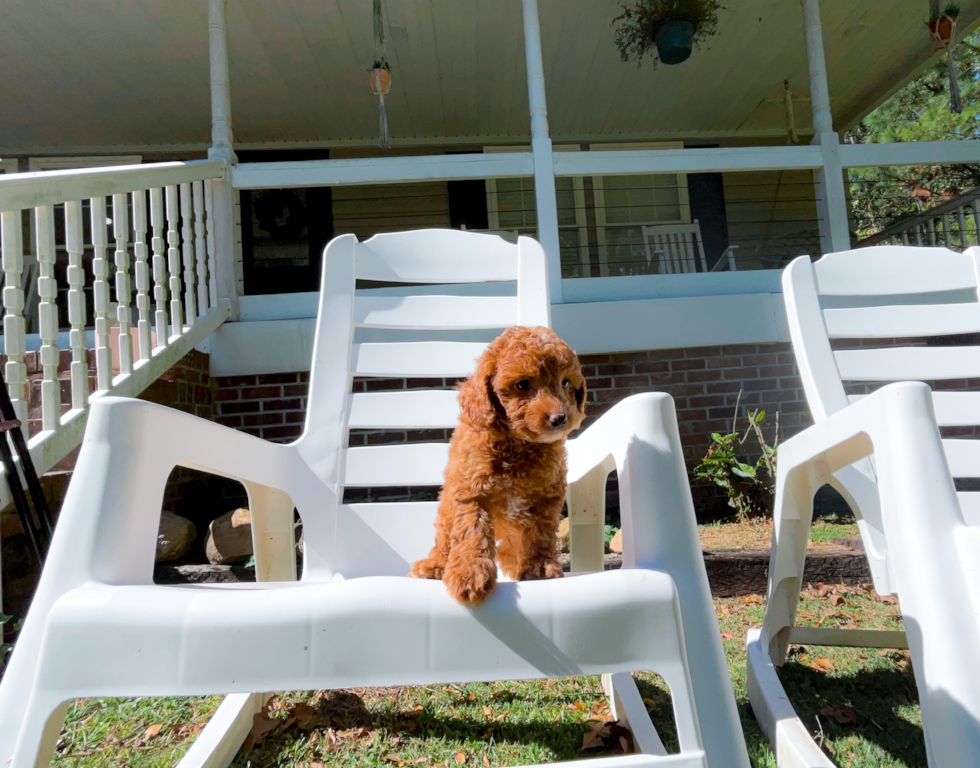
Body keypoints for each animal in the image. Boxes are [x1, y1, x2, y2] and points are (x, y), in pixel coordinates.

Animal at [408, 324, 584, 600]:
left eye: (566, 383)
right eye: (523, 384)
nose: (559, 418)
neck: (518, 444)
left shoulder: (547, 495)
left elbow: (541, 532)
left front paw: (540, 567)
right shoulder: (471, 490)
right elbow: (472, 531)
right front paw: (469, 575)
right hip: (447, 508)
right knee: (444, 539)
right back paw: (434, 565)